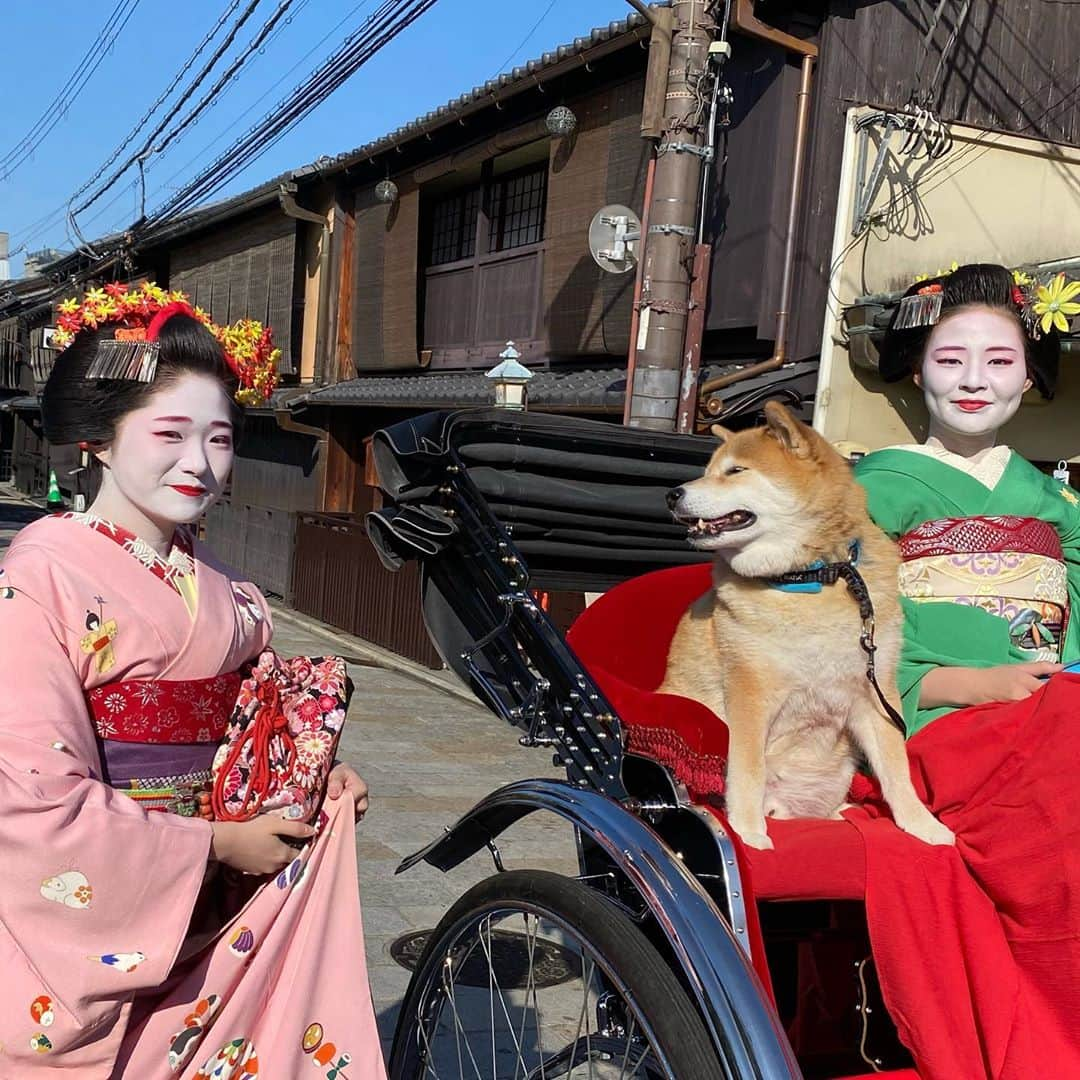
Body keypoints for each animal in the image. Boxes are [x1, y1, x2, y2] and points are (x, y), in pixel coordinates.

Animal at [656, 401, 954, 846]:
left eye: (735, 470)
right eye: (708, 470)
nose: (673, 493)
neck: (813, 577)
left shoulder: (876, 692)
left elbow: (897, 770)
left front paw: (922, 826)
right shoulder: (750, 692)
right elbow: (747, 770)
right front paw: (748, 833)